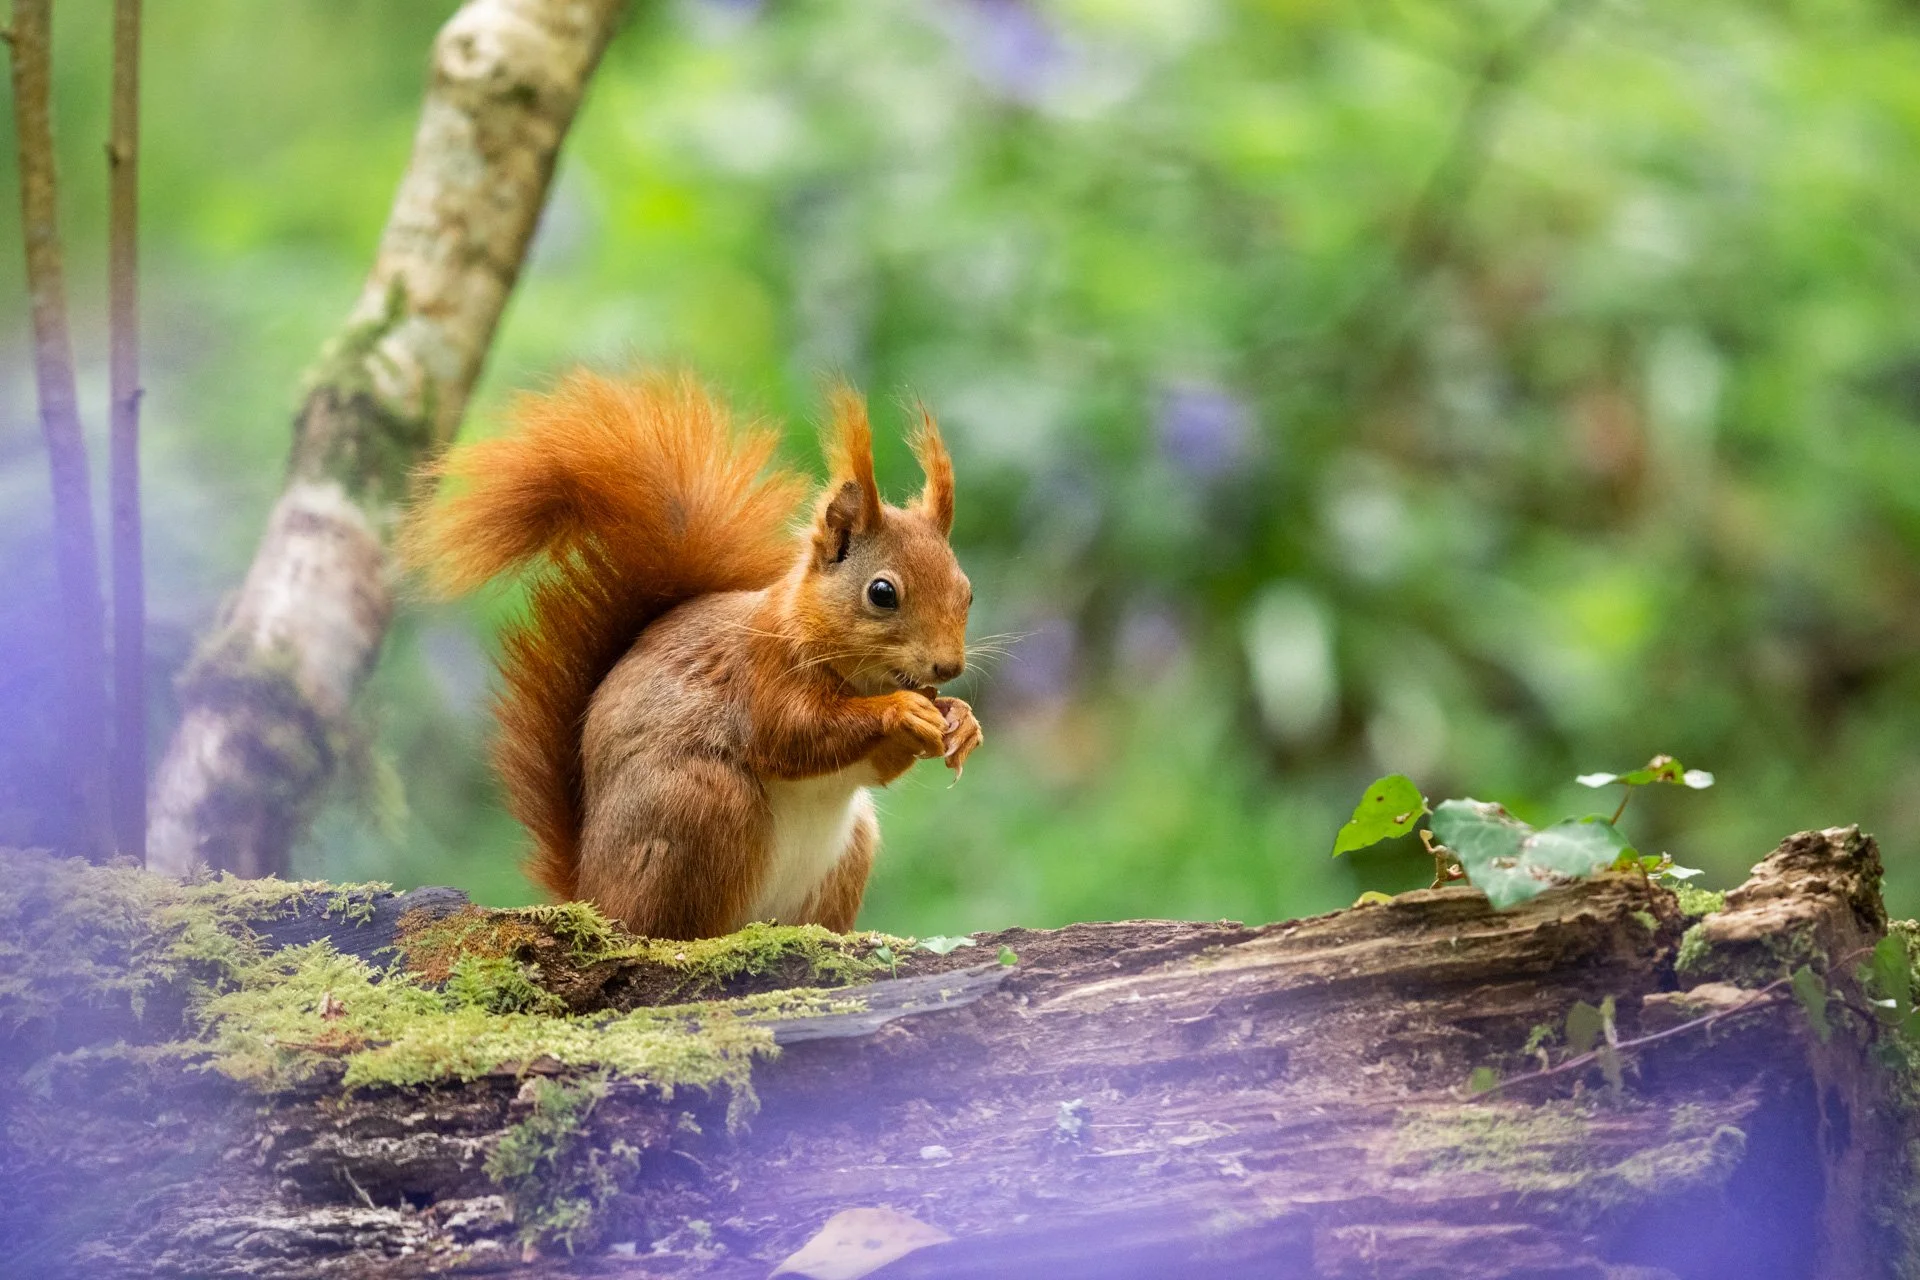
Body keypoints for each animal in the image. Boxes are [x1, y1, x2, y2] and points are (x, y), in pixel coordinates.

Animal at [402, 372, 982, 940]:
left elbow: (877, 766)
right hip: (701, 807)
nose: (948, 668)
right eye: (882, 593)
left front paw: (961, 721)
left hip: (849, 847)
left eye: (968, 591)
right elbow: (792, 735)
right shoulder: (761, 671)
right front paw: (903, 710)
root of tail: (591, 895)